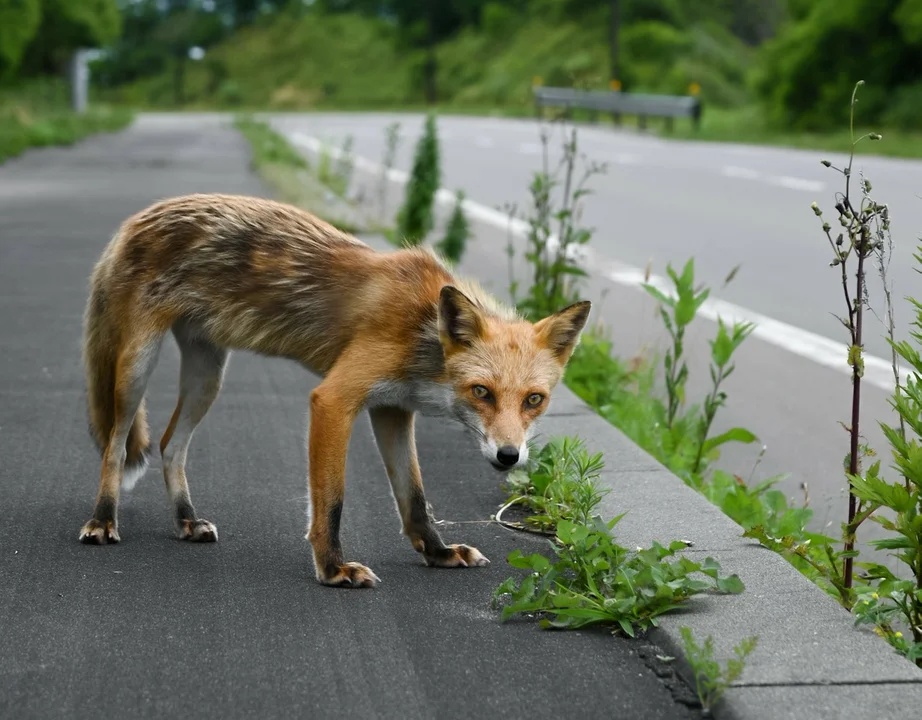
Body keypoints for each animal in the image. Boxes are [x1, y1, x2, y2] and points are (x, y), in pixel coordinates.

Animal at [77, 194, 584, 588]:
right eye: (482, 391)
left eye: (534, 400)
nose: (509, 457)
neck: (423, 331)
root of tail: (139, 216)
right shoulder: (335, 400)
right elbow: (332, 501)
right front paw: (333, 569)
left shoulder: (393, 409)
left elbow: (415, 500)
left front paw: (438, 554)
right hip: (136, 371)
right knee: (116, 447)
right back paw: (103, 519)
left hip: (208, 378)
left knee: (169, 445)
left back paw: (186, 519)